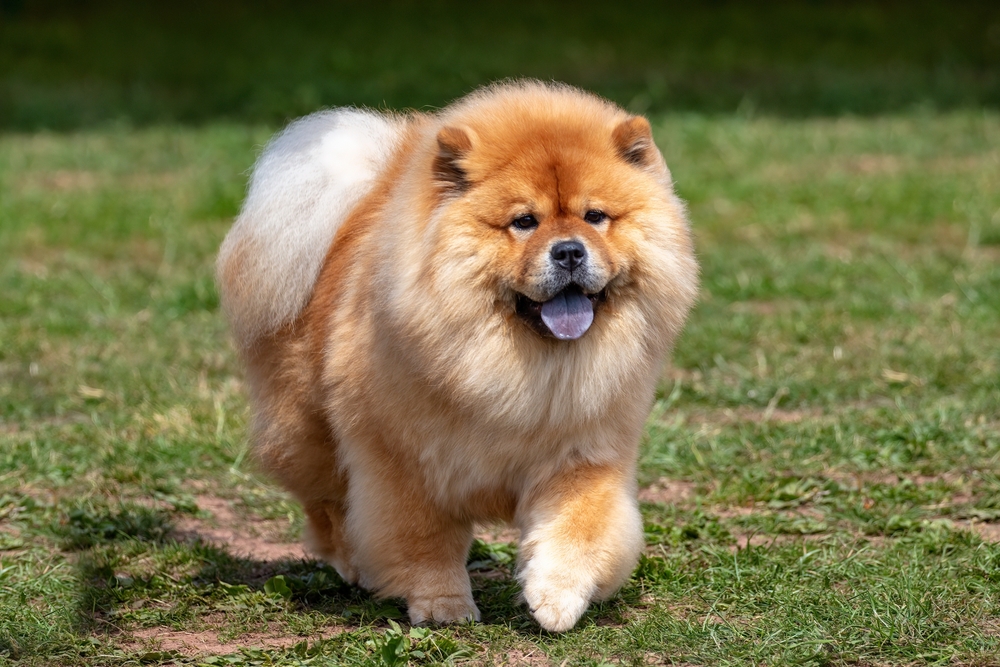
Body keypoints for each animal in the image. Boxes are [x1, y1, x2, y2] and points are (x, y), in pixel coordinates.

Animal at [215, 81, 700, 636]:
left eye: (596, 217)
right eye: (524, 222)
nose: (570, 251)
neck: (524, 367)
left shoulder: (584, 455)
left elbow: (578, 529)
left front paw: (556, 599)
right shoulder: (405, 463)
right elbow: (424, 542)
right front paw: (443, 606)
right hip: (309, 431)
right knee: (328, 507)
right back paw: (352, 565)